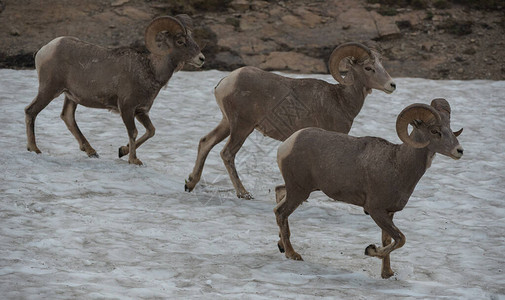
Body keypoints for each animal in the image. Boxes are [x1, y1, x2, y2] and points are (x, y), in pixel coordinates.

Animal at [24, 14, 204, 164]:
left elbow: (151, 131)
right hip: (49, 90)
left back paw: (91, 152)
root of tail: (45, 50)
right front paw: (134, 160)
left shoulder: (141, 111)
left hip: (70, 97)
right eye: (180, 42)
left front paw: (122, 151)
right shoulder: (126, 108)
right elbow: (133, 132)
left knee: (67, 117)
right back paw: (34, 149)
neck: (150, 70)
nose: (201, 59)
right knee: (31, 111)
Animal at [183, 41, 396, 197]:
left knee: (206, 142)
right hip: (242, 127)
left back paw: (190, 184)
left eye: (381, 65)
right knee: (227, 154)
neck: (341, 100)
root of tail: (227, 82)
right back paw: (244, 194)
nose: (392, 85)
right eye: (368, 67)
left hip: (227, 123)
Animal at [274, 98, 462, 278]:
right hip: (299, 191)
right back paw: (292, 254)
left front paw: (387, 274)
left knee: (279, 193)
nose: (459, 151)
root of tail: (288, 144)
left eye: (450, 130)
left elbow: (389, 241)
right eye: (435, 131)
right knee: (280, 212)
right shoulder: (375, 210)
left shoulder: (389, 213)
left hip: (303, 189)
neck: (398, 164)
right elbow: (400, 239)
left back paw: (281, 246)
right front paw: (370, 250)